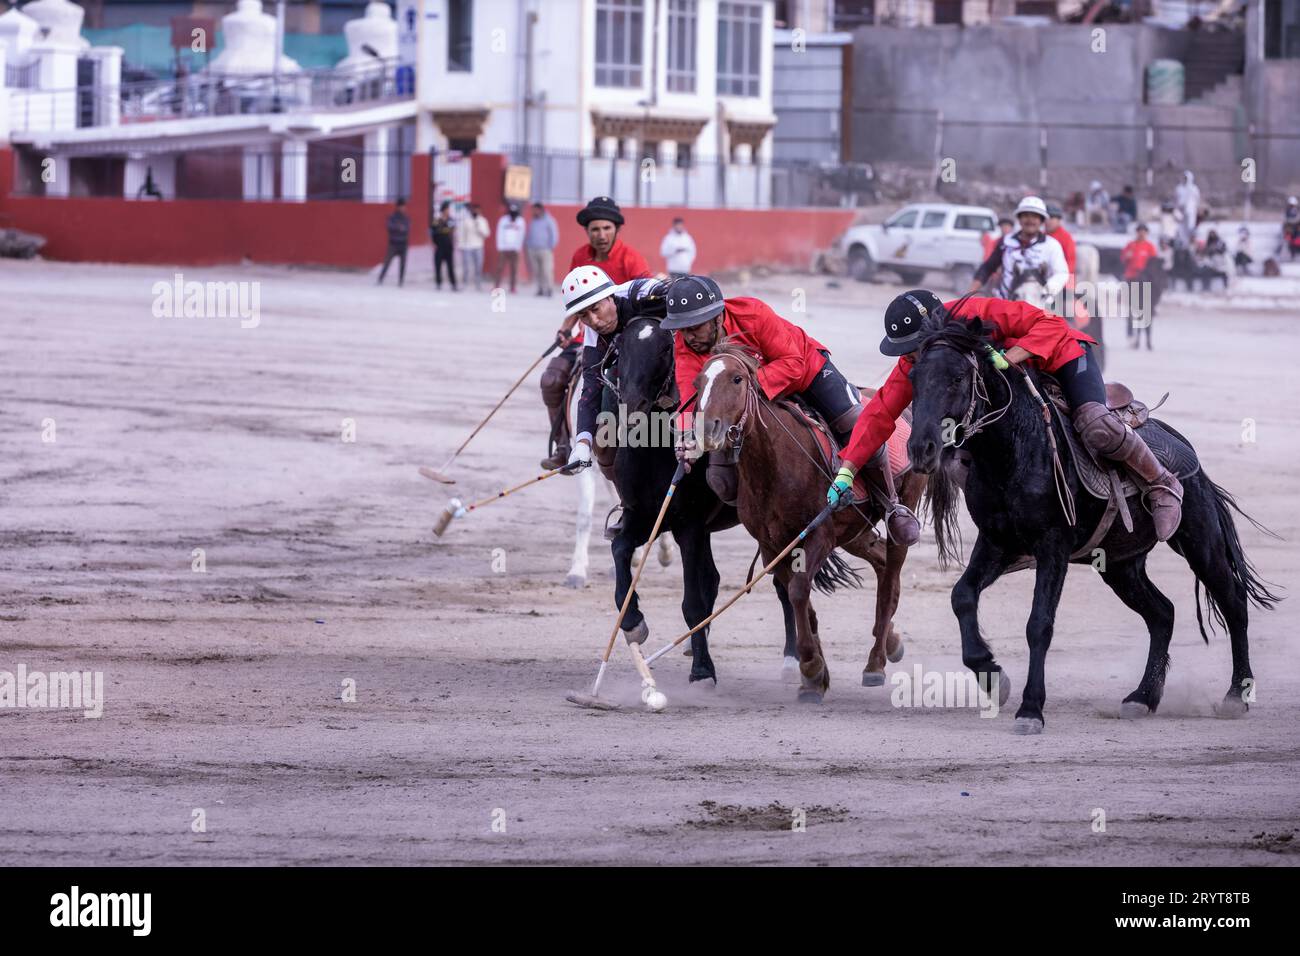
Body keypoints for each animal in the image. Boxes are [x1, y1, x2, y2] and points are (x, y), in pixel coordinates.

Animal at [603, 317, 795, 686]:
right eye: (620, 345)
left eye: (665, 348)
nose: (633, 406)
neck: (654, 455)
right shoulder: (642, 515)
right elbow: (620, 550)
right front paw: (633, 622)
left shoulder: (688, 526)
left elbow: (692, 601)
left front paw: (703, 671)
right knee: (714, 579)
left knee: (781, 583)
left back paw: (791, 657)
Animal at [691, 343, 925, 702]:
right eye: (698, 382)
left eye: (736, 379)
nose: (707, 430)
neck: (773, 465)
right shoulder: (772, 544)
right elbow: (797, 595)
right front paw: (815, 672)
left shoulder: (819, 535)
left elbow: (799, 591)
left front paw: (812, 668)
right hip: (854, 531)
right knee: (883, 562)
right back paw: (890, 640)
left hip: (900, 507)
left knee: (891, 573)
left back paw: (876, 661)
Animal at [904, 319, 1279, 733]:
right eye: (914, 377)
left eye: (956, 378)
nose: (921, 449)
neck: (1014, 449)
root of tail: (1184, 447)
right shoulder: (996, 542)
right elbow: (962, 596)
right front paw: (992, 675)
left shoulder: (1052, 545)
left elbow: (1039, 624)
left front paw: (1031, 709)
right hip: (1120, 567)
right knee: (1162, 613)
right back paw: (1142, 697)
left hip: (1200, 542)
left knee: (1233, 602)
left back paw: (1235, 695)